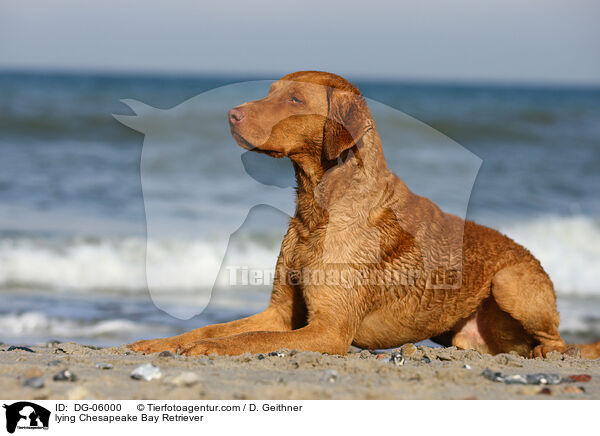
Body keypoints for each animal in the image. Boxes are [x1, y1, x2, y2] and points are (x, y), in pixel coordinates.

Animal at [131, 70, 600, 358]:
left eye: (295, 98)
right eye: (269, 92)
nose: (231, 114)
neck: (316, 211)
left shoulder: (330, 330)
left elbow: (252, 337)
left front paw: (207, 350)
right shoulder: (280, 310)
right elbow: (217, 329)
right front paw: (158, 342)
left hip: (510, 281)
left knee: (557, 341)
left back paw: (549, 350)